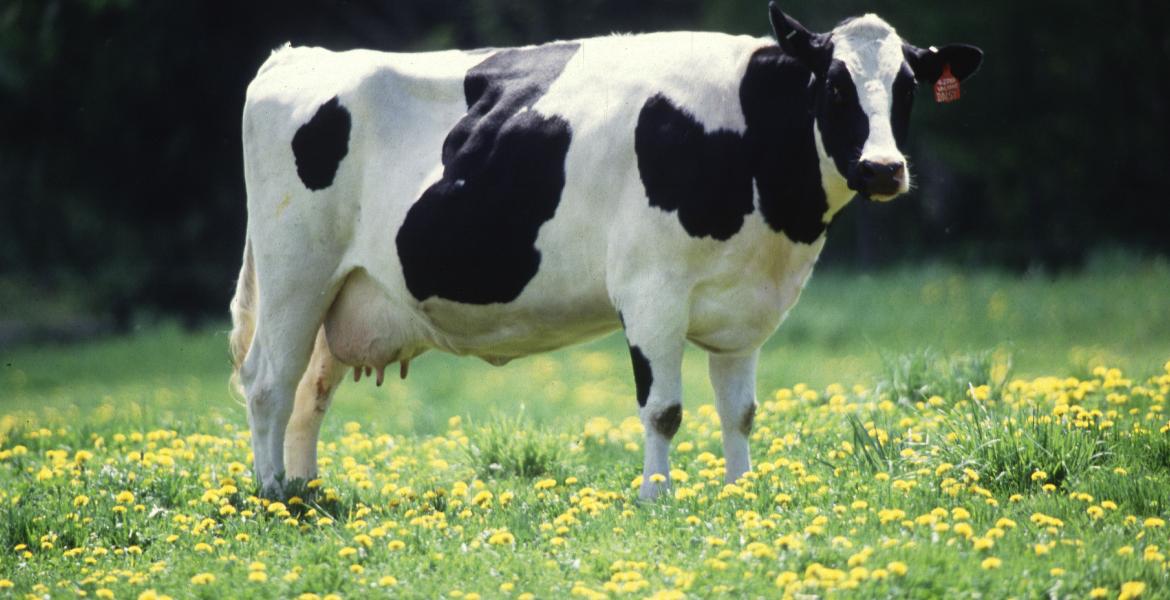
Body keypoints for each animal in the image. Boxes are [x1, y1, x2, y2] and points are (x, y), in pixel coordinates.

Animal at [229, 3, 982, 500]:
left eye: (908, 87)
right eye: (834, 84)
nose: (884, 168)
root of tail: (297, 56)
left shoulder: (745, 307)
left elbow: (739, 411)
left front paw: (741, 493)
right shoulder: (651, 290)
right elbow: (664, 409)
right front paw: (656, 497)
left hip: (343, 291)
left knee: (310, 391)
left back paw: (307, 491)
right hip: (295, 272)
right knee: (269, 381)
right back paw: (273, 496)